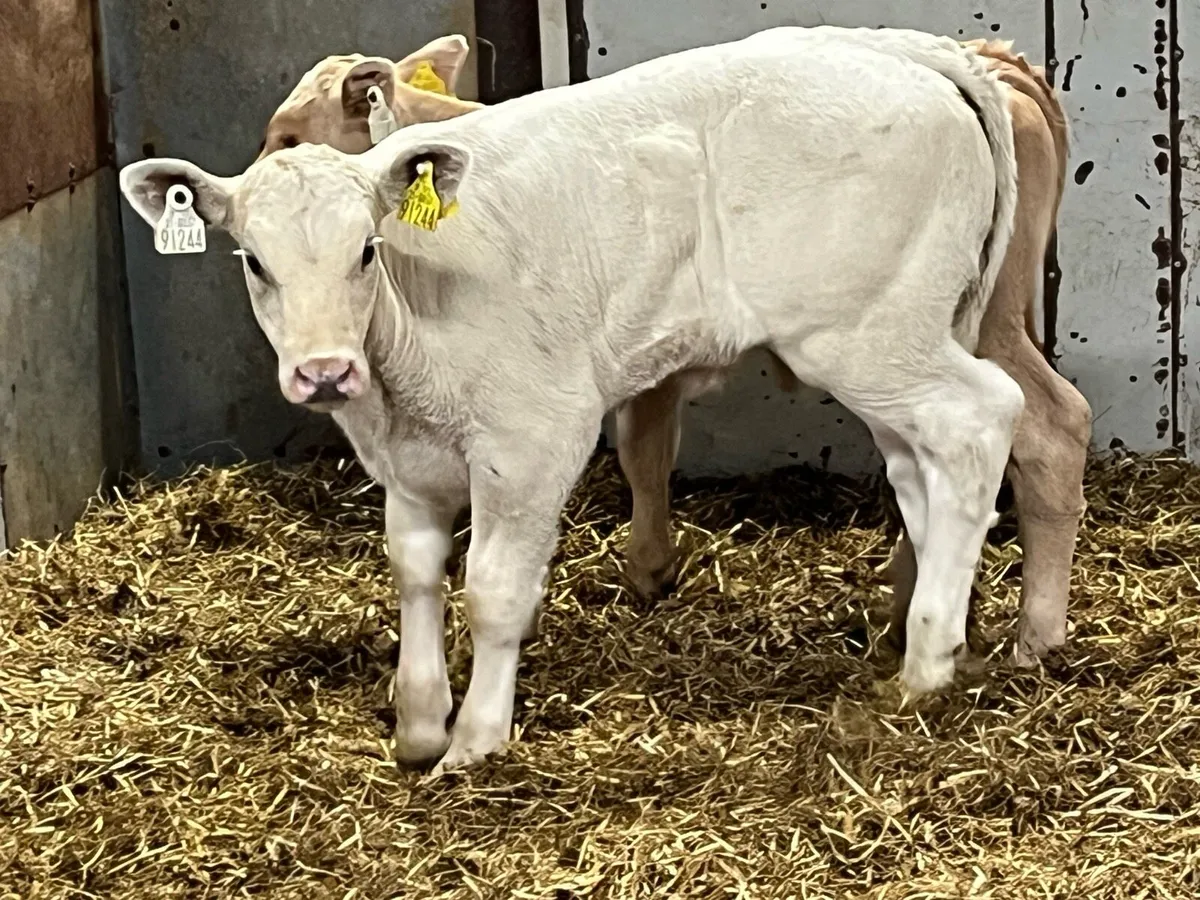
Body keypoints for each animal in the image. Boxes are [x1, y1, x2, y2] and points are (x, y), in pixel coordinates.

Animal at [119, 26, 1023, 772]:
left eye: (366, 250)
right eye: (253, 261)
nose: (324, 372)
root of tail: (909, 51)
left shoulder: (533, 440)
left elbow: (492, 590)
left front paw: (475, 742)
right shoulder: (406, 465)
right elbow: (415, 573)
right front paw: (418, 726)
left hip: (866, 334)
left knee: (984, 417)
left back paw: (928, 661)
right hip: (895, 339)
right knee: (922, 468)